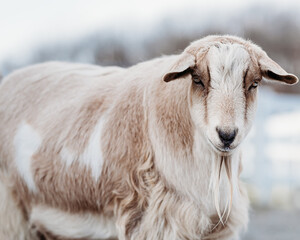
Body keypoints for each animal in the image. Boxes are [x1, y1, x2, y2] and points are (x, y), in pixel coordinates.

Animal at [0, 35, 298, 240]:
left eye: (254, 84)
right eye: (198, 80)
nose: (226, 135)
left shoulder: (215, 226)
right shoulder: (154, 220)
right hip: (12, 215)